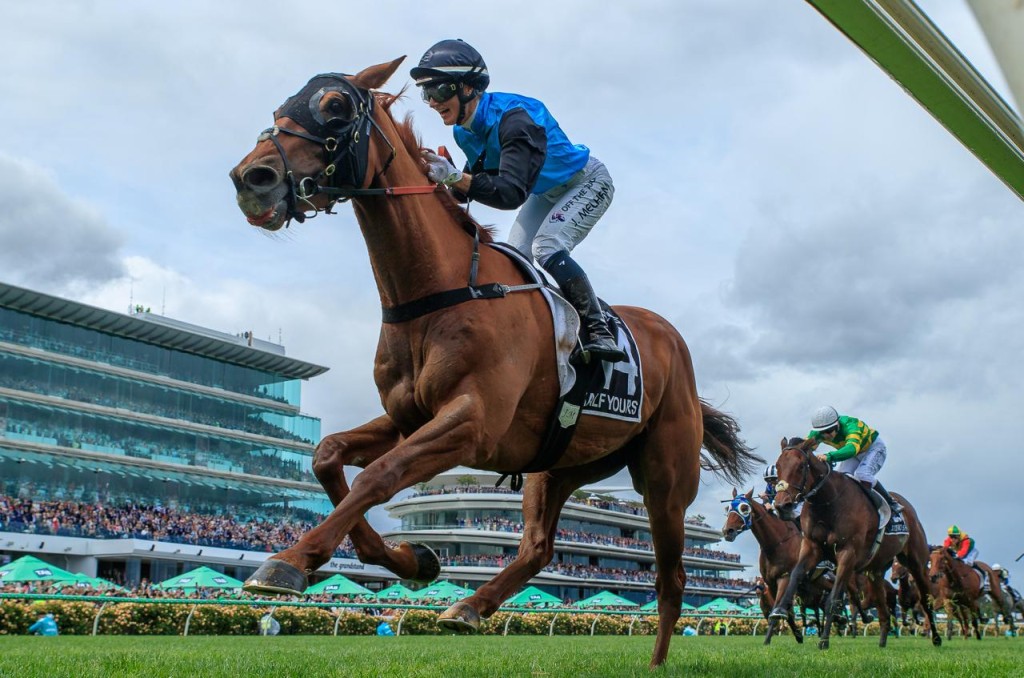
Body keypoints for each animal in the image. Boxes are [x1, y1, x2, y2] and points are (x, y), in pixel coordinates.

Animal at [228, 58, 761, 669]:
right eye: (279, 108)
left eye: (335, 106)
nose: (251, 178)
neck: (439, 293)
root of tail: (671, 340)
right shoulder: (410, 418)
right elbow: (328, 456)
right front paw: (414, 559)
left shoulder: (472, 423)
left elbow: (379, 477)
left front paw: (288, 561)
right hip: (559, 464)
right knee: (538, 548)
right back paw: (467, 606)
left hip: (666, 476)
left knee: (670, 578)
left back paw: (654, 662)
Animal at [768, 438, 941, 649]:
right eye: (778, 466)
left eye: (801, 466)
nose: (781, 506)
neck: (828, 501)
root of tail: (908, 508)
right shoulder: (812, 547)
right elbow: (796, 575)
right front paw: (779, 611)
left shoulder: (847, 553)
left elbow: (833, 599)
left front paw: (824, 641)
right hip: (876, 570)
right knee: (883, 607)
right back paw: (882, 641)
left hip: (916, 563)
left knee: (925, 600)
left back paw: (936, 637)